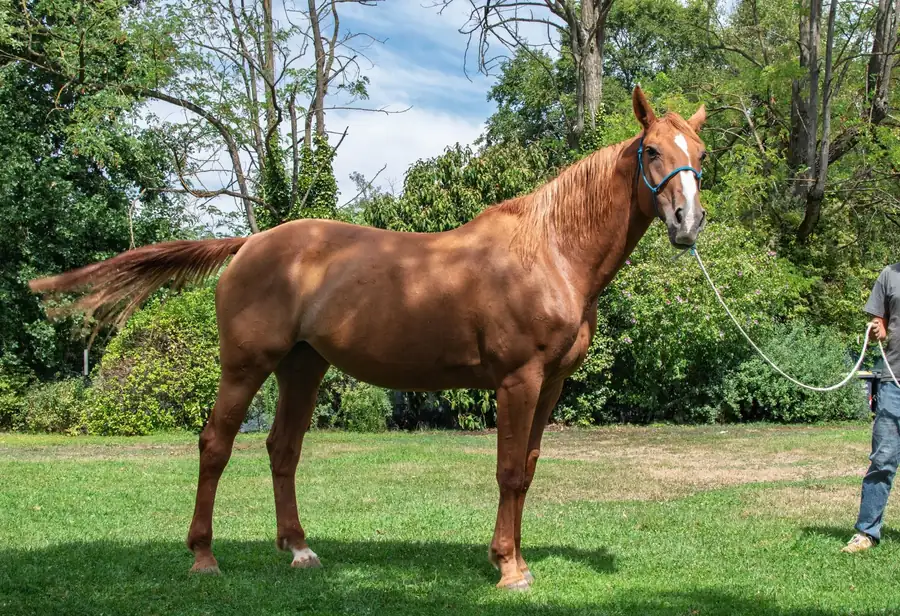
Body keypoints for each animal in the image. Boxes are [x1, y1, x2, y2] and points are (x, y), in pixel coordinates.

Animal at [29, 86, 707, 590]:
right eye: (650, 151)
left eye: (700, 154)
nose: (687, 222)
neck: (549, 251)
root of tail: (249, 243)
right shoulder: (518, 380)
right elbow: (510, 470)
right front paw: (509, 569)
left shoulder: (551, 384)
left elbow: (530, 468)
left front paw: (511, 557)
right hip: (246, 366)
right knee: (215, 445)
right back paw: (204, 557)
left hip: (302, 367)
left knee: (282, 449)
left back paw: (299, 550)